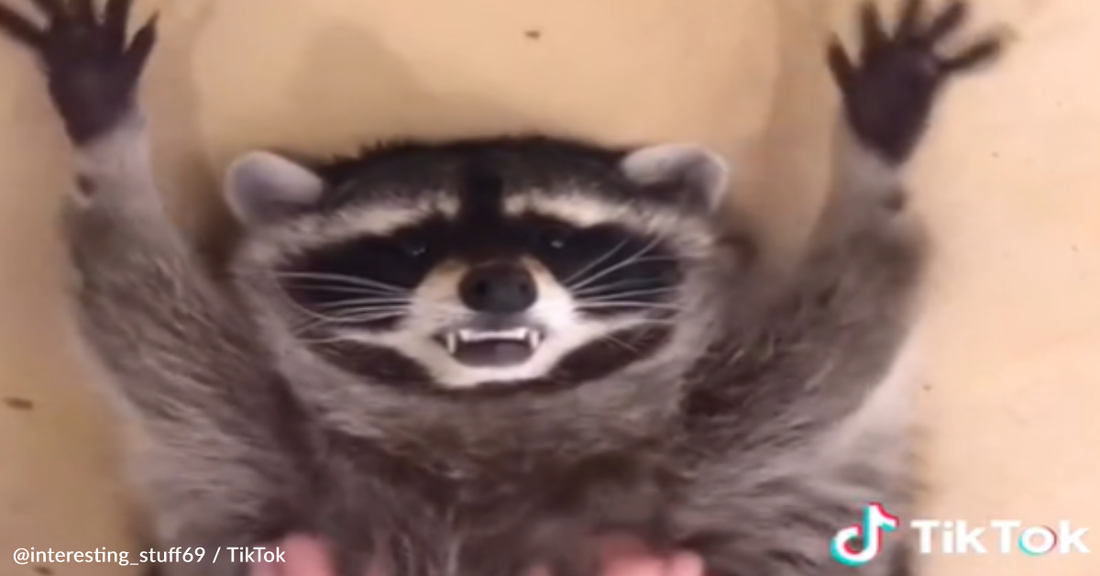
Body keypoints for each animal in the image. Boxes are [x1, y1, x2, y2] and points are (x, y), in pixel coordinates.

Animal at [0, 1, 1002, 576]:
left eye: (555, 235)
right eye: (412, 245)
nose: (498, 285)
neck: (486, 418)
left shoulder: (731, 454)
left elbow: (848, 322)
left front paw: (873, 169)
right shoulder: (251, 444)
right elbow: (137, 307)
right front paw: (108, 153)